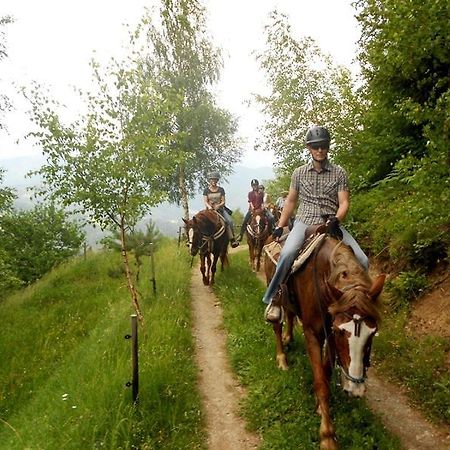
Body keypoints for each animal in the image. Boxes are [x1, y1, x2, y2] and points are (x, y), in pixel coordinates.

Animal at [266, 230, 384, 448]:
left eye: (372, 333)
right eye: (340, 331)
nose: (355, 389)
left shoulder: (329, 336)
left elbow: (326, 372)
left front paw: (321, 407)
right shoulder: (315, 333)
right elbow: (321, 381)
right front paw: (327, 436)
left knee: (290, 313)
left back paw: (288, 338)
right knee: (277, 324)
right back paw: (282, 359)